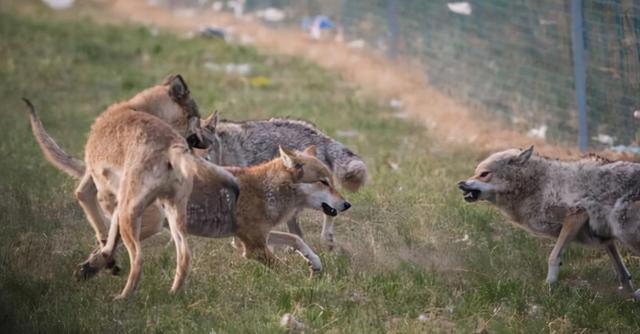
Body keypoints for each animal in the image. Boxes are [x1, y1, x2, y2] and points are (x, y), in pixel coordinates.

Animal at [198, 112, 368, 248]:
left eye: (207, 145)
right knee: (300, 233)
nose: (202, 159)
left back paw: (326, 240)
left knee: (330, 212)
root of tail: (316, 133)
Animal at [458, 146, 640, 300]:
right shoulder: (604, 237)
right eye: (476, 172)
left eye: (484, 174)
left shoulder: (576, 215)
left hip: (623, 228)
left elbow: (553, 257)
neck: (540, 185)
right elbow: (622, 272)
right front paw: (629, 295)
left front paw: (549, 288)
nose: (460, 184)